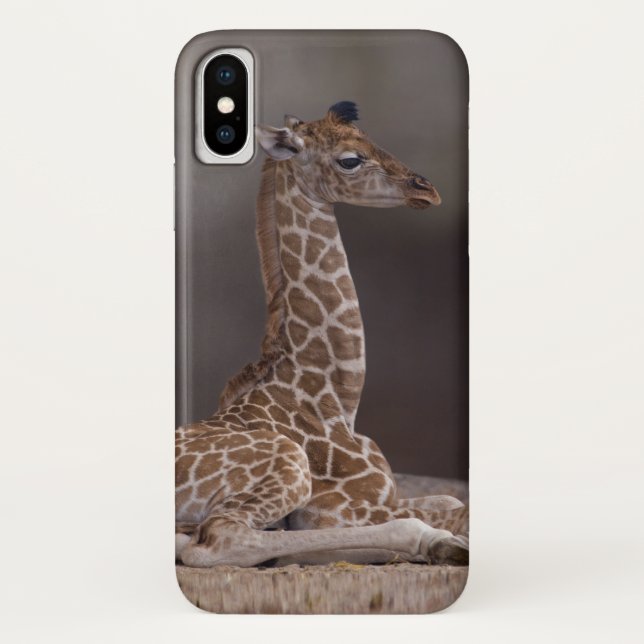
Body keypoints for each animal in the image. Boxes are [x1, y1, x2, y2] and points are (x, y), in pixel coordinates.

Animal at [176, 101, 468, 568]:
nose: (427, 189)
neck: (336, 399)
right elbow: (455, 510)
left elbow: (451, 501)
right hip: (288, 464)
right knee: (218, 538)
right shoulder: (338, 507)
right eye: (350, 159)